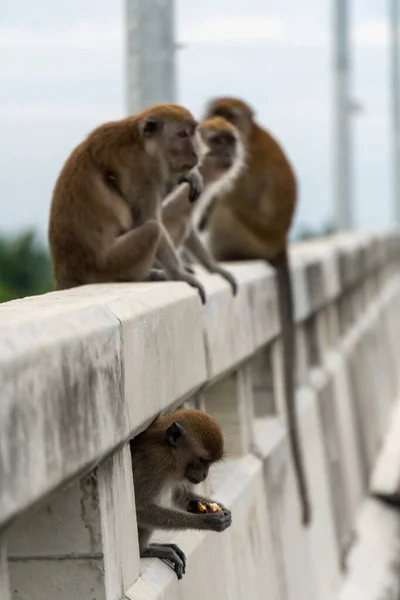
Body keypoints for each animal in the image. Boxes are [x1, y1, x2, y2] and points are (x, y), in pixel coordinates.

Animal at [48, 104, 206, 304]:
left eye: (193, 133)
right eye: (183, 134)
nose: (195, 153)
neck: (142, 145)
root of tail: (66, 272)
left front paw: (189, 175)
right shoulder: (141, 172)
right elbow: (144, 219)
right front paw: (181, 275)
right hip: (108, 265)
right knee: (152, 229)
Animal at [130, 410, 233, 580]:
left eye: (210, 463)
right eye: (203, 461)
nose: (204, 474)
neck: (169, 451)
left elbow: (181, 496)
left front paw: (222, 509)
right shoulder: (156, 461)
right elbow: (141, 509)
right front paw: (209, 521)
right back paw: (144, 550)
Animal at [202, 96, 310, 524]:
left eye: (228, 115)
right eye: (215, 112)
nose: (217, 127)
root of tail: (277, 243)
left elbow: (229, 195)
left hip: (245, 236)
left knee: (226, 207)